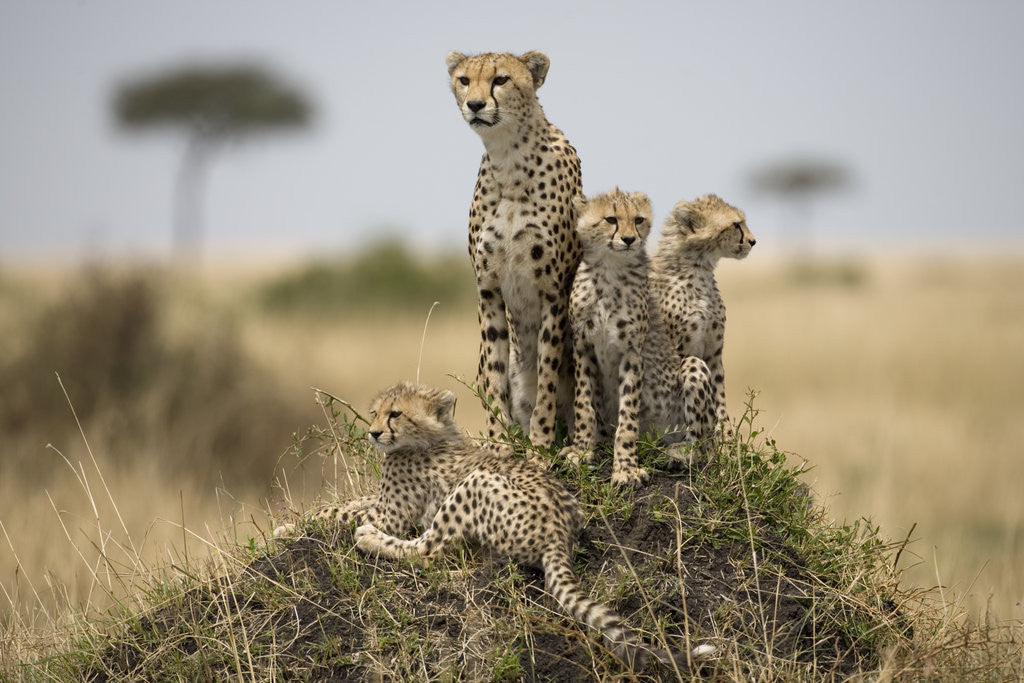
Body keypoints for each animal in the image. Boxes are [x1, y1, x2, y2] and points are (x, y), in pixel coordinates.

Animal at [275, 381, 715, 668]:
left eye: (395, 413)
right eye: (376, 413)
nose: (373, 432)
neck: (429, 439)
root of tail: (561, 532)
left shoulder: (392, 515)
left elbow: (342, 515)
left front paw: (290, 529)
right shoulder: (383, 503)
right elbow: (348, 504)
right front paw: (291, 525)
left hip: (475, 483)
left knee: (431, 552)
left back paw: (368, 540)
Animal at [446, 50, 582, 450]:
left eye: (501, 80)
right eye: (464, 80)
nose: (475, 105)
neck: (508, 156)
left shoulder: (554, 290)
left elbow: (548, 371)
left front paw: (539, 442)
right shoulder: (488, 288)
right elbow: (495, 375)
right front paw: (499, 441)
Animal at [559, 189, 717, 487]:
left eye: (638, 219)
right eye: (610, 219)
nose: (629, 239)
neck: (610, 270)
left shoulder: (631, 353)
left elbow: (628, 418)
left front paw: (626, 469)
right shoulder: (583, 347)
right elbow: (583, 404)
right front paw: (582, 450)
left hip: (692, 368)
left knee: (705, 444)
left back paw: (679, 454)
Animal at [649, 194, 756, 434]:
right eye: (736, 225)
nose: (753, 241)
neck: (700, 269)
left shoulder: (713, 351)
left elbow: (718, 392)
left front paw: (725, 433)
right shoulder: (676, 352)